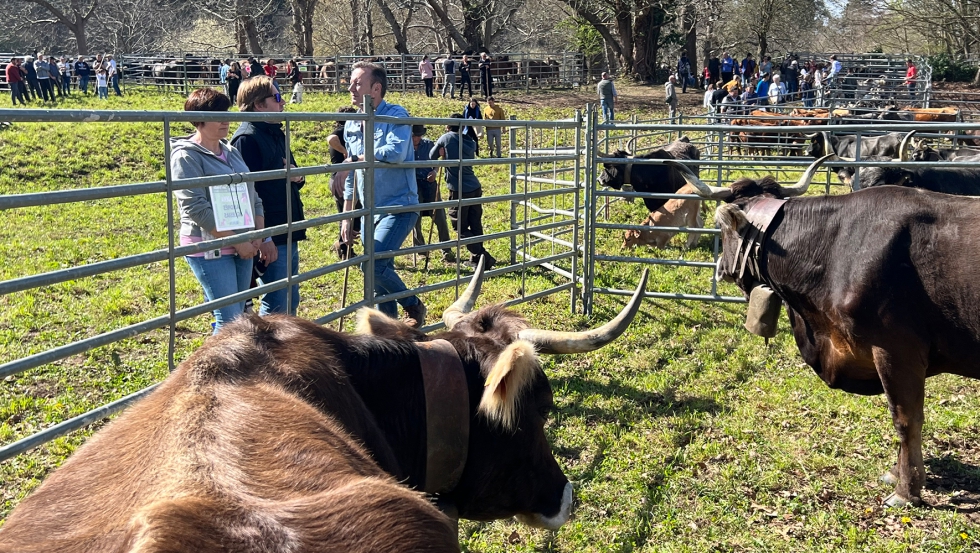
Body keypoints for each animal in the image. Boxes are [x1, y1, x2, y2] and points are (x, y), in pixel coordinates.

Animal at [668, 156, 980, 508]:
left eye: (722, 229)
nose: (720, 268)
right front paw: (896, 473)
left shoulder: (897, 349)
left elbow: (905, 419)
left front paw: (906, 489)